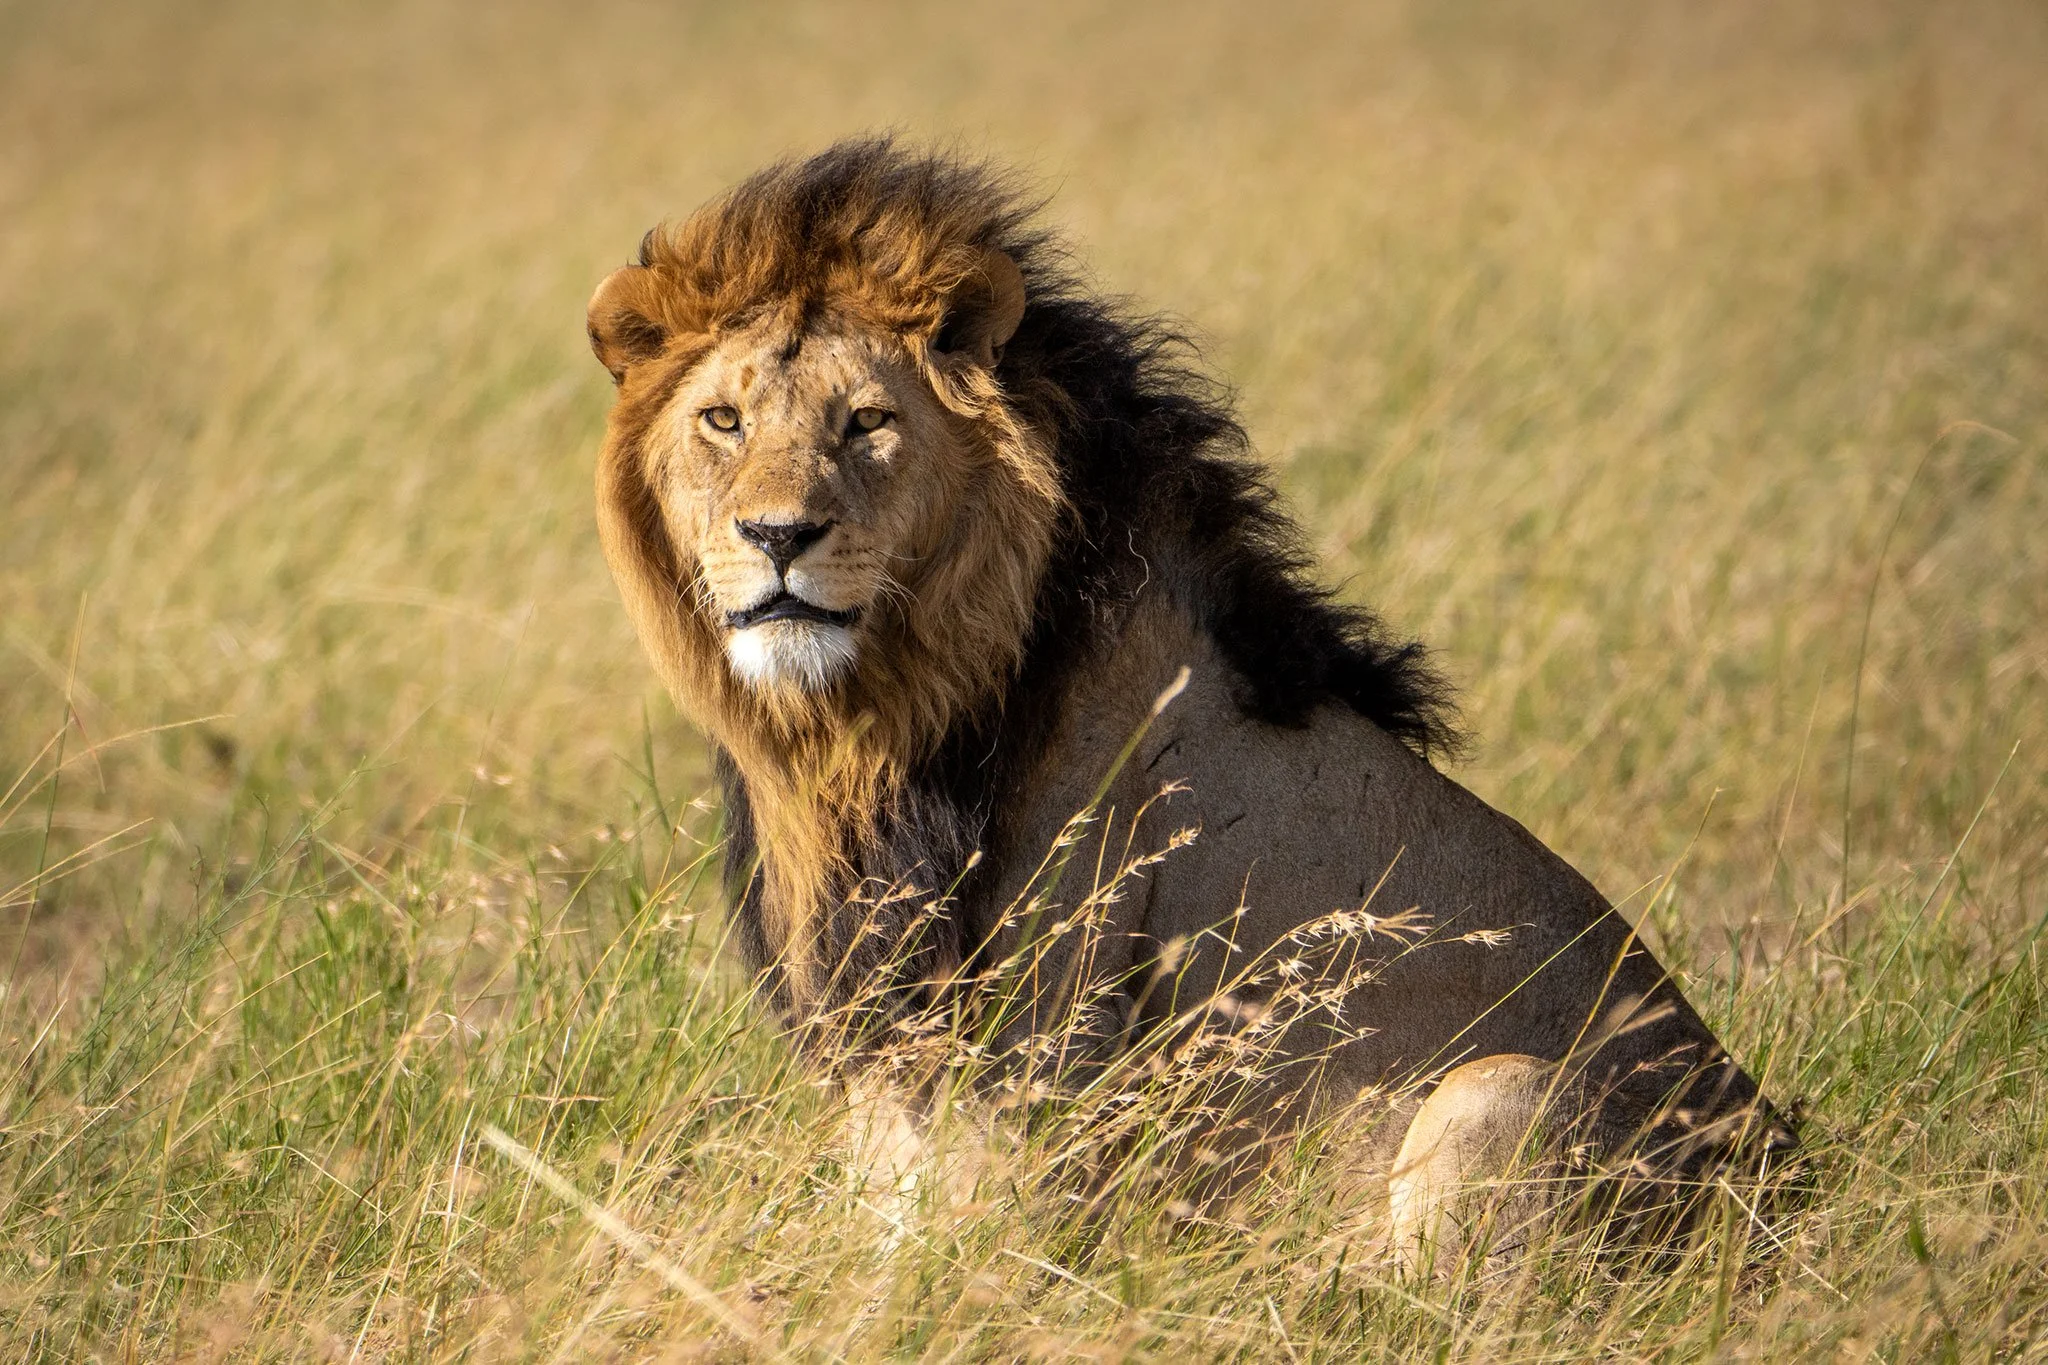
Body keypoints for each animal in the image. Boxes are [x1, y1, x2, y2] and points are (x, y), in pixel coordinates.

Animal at [586, 138, 1794, 1268]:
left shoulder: (1035, 1020)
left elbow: (962, 1235)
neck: (868, 725)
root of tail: (1794, 1170)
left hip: (1499, 1093)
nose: (776, 536)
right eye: (723, 421)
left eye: (867, 422)